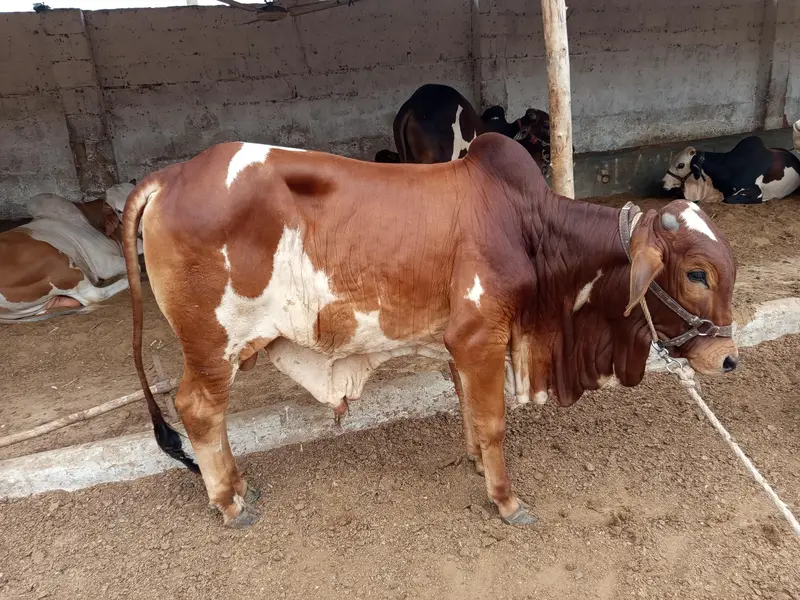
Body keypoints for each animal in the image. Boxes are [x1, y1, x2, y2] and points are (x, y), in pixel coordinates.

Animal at [0, 182, 139, 322]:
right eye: (119, 210)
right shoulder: (104, 265)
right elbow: (136, 265)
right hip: (60, 266)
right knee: (93, 295)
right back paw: (125, 281)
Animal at [123, 133, 738, 529]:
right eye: (696, 273)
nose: (727, 359)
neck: (529, 227)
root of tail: (171, 176)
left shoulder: (460, 345)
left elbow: (467, 407)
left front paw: (475, 462)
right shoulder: (481, 336)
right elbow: (493, 423)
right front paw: (506, 501)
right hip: (213, 344)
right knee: (198, 408)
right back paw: (229, 502)